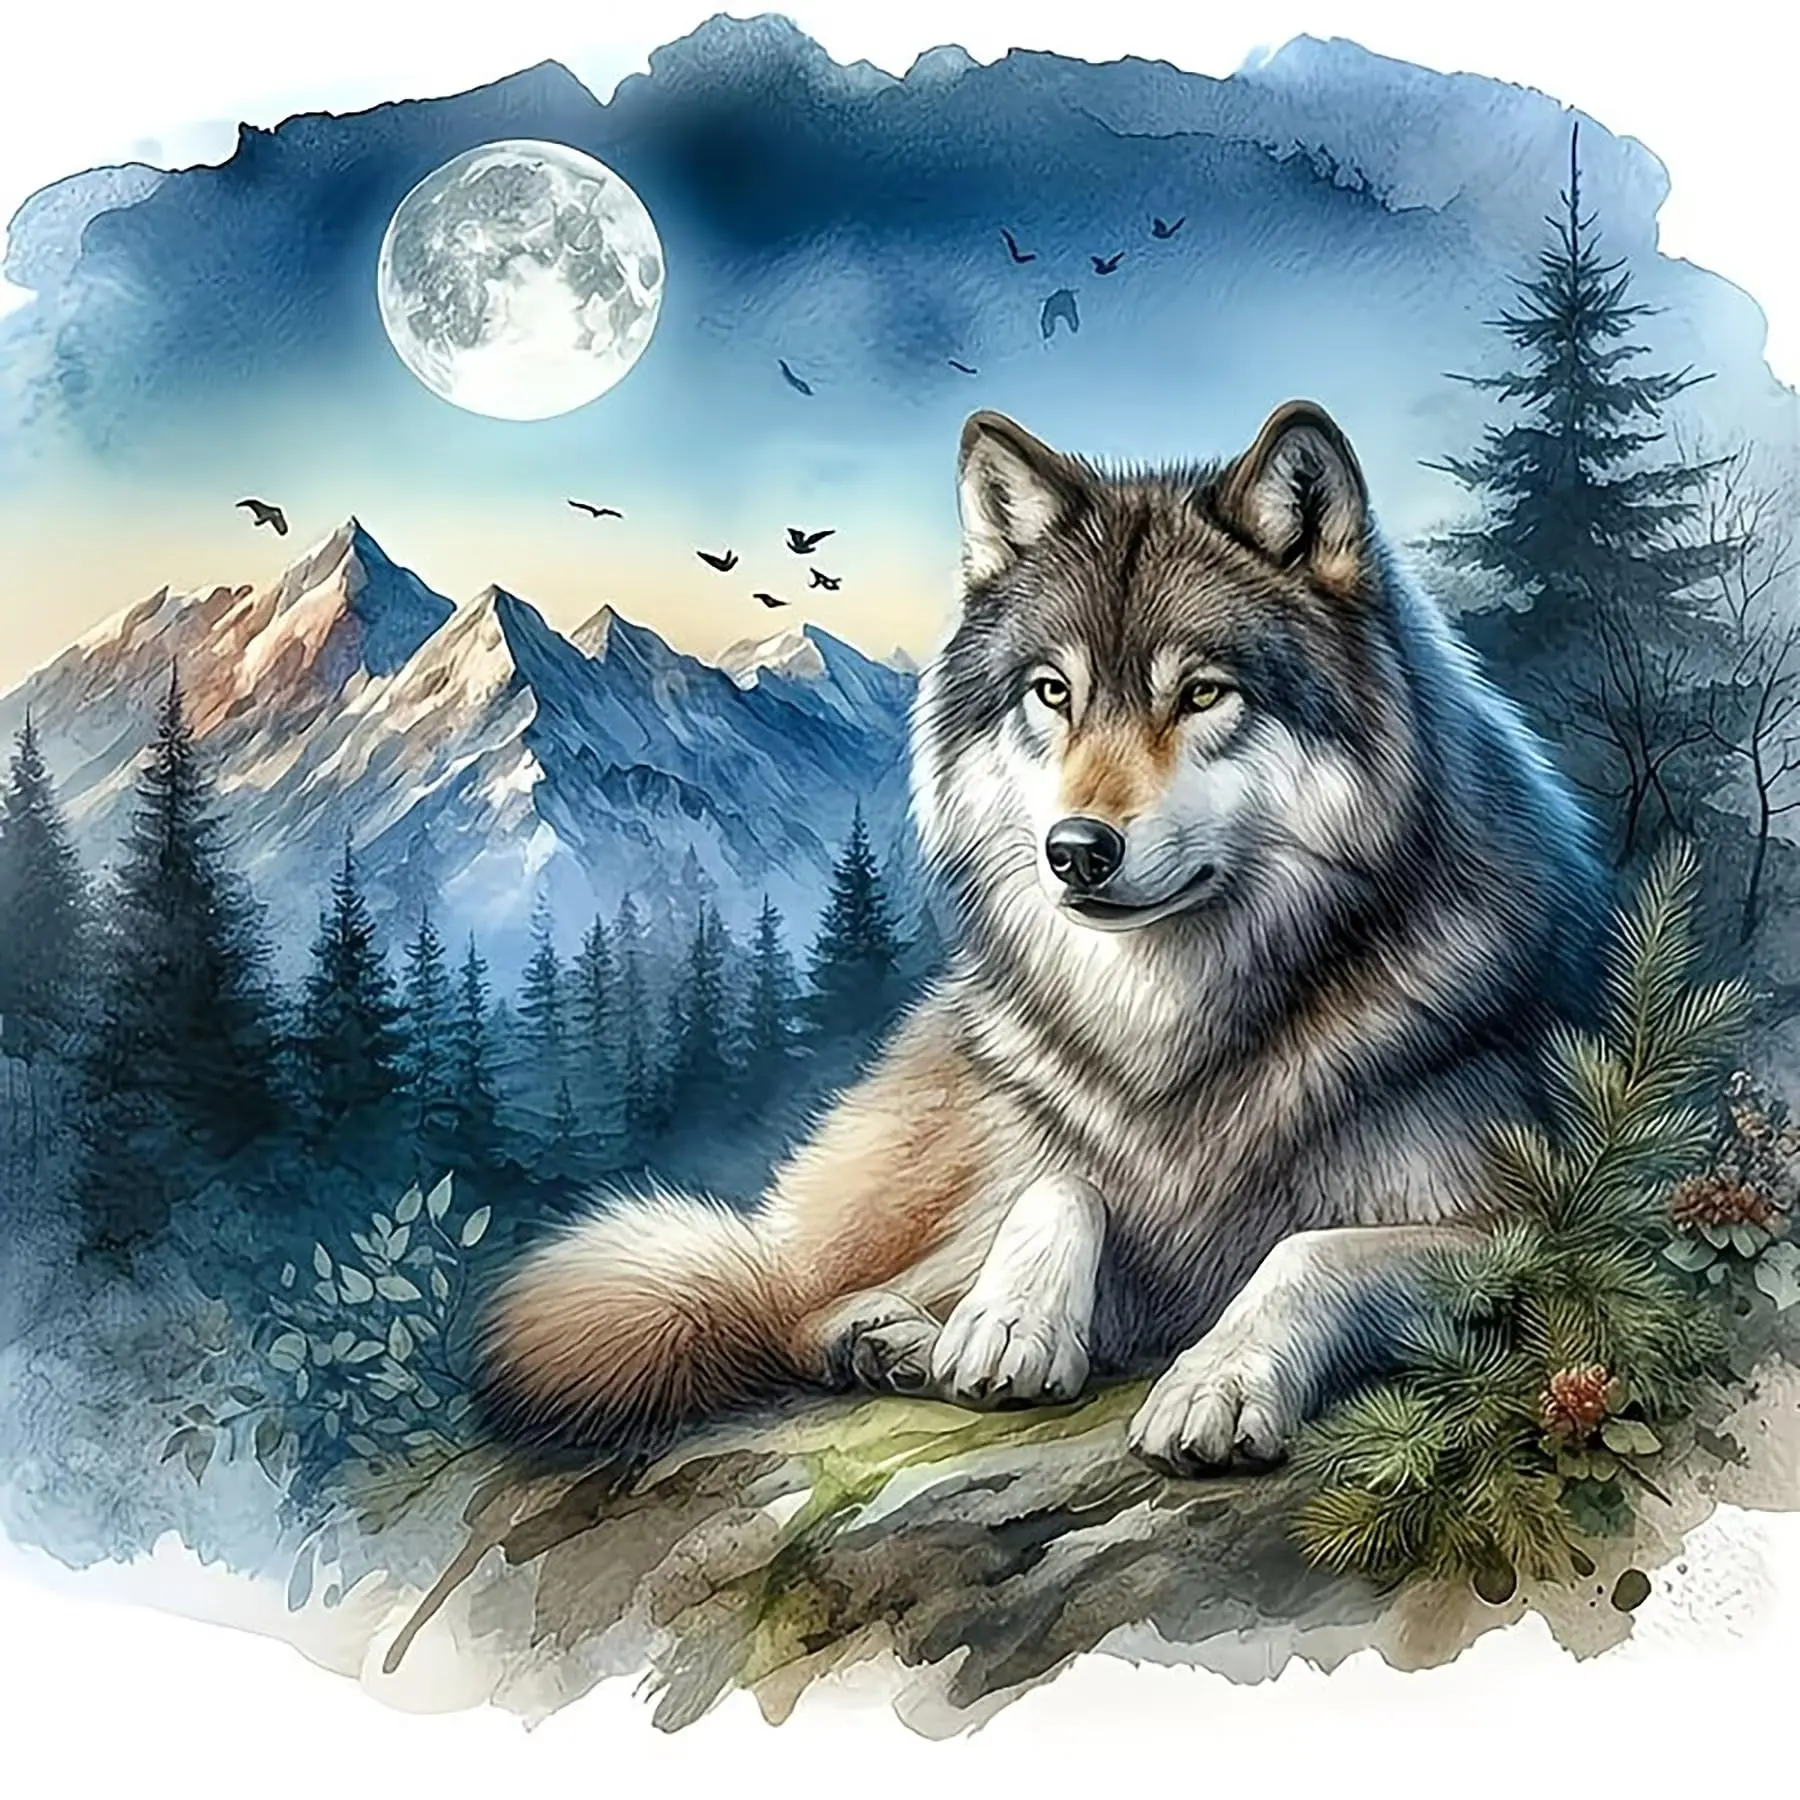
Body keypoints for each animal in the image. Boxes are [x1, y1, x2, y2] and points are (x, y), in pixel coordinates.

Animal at [475, 399, 1610, 1475]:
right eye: (1052, 692)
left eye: (1202, 693)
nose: (1076, 851)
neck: (1172, 1034)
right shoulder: (1077, 1189)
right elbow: (1061, 1181)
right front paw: (1011, 1320)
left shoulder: (1535, 1225)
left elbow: (1310, 1251)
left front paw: (1218, 1381)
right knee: (787, 1299)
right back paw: (886, 1335)